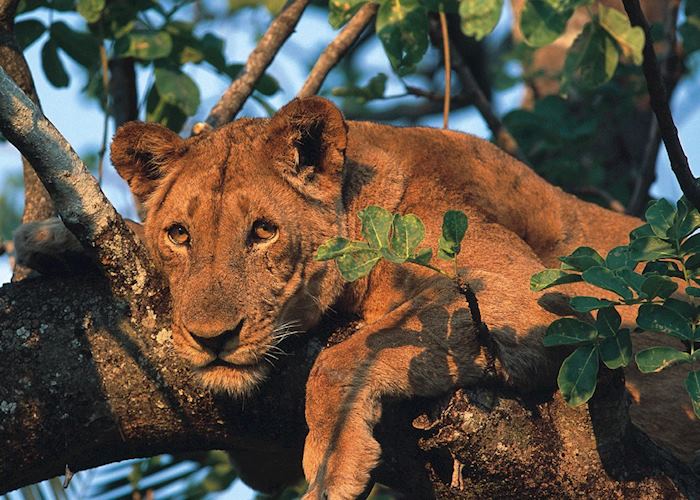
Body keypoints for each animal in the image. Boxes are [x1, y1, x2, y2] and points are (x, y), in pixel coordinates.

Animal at [15, 95, 700, 498]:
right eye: (178, 235)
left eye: (262, 232)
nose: (212, 341)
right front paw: (52, 239)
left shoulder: (522, 301)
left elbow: (342, 359)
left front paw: (333, 466)